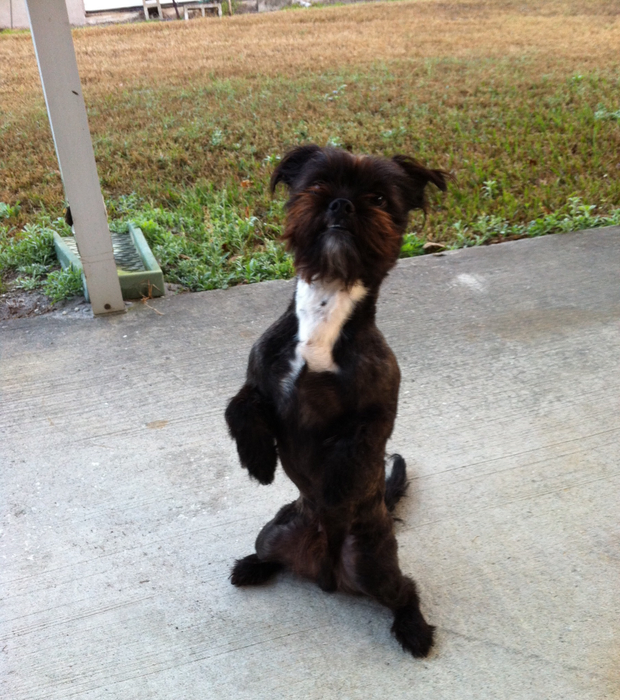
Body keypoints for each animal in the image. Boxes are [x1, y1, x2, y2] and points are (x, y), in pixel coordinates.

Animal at [225, 145, 448, 660]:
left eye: (378, 197)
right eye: (317, 183)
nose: (342, 204)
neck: (326, 312)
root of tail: (323, 572)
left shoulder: (377, 409)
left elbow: (352, 453)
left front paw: (333, 492)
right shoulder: (260, 380)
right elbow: (238, 407)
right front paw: (259, 460)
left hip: (371, 564)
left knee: (405, 591)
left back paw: (414, 630)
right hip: (275, 533)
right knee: (271, 554)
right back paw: (252, 566)